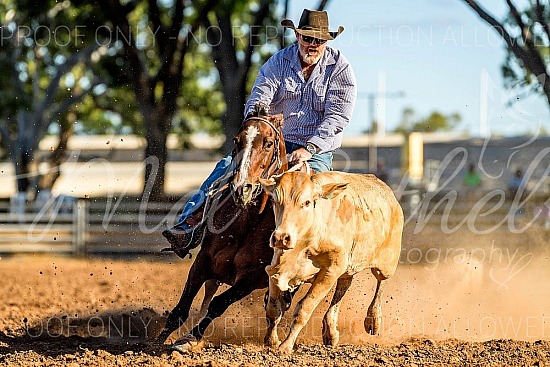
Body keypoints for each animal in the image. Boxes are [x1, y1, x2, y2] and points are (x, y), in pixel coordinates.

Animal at [155, 110, 294, 350]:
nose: (241, 188)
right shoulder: (203, 260)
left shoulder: (253, 277)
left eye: (268, 143)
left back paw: (272, 339)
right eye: (237, 141)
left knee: (276, 306)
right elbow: (180, 310)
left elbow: (219, 304)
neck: (250, 222)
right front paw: (154, 344)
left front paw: (190, 339)